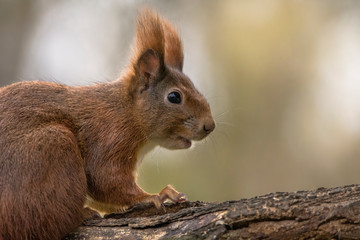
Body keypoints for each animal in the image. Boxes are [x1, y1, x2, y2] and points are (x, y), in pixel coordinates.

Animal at [0, 7, 214, 240]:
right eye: (174, 97)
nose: (210, 126)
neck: (126, 111)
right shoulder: (110, 137)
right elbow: (106, 179)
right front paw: (154, 195)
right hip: (50, 149)